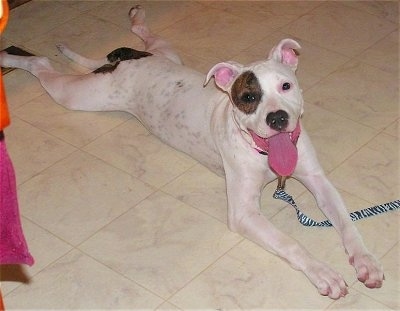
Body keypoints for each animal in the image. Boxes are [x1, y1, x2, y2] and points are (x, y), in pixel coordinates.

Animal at [1, 5, 386, 300]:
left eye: (286, 85)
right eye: (248, 97)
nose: (277, 118)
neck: (261, 152)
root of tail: (125, 61)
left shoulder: (318, 180)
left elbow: (346, 221)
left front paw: (365, 260)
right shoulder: (244, 214)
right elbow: (289, 242)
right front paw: (323, 273)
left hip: (164, 53)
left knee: (146, 35)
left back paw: (136, 16)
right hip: (80, 95)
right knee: (40, 65)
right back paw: (11, 55)